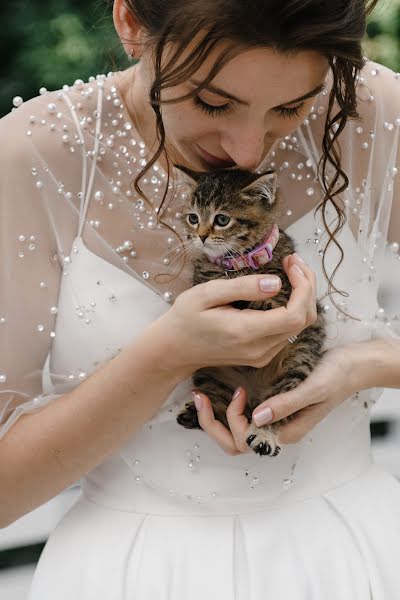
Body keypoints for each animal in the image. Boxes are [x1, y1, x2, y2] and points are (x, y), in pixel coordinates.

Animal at [177, 166, 326, 458]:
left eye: (222, 219)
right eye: (193, 218)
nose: (200, 236)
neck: (236, 265)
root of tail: (253, 393)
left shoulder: (284, 298)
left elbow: (262, 303)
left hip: (298, 361)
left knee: (272, 408)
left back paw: (264, 434)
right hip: (210, 370)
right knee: (220, 403)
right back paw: (196, 413)